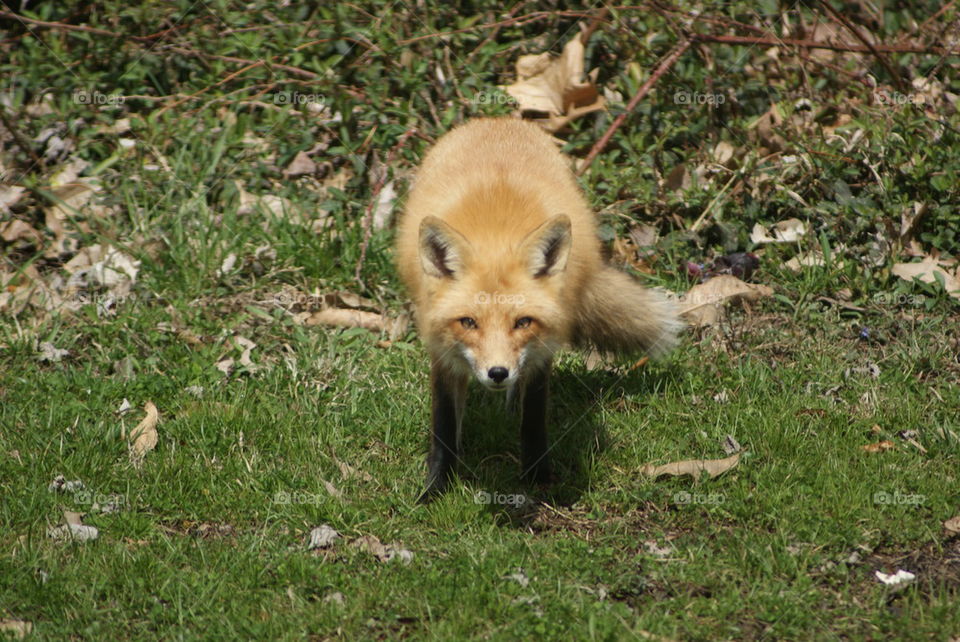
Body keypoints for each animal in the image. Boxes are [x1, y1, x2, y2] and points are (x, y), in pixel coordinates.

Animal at [398, 119, 684, 500]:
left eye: (523, 322)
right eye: (468, 322)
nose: (498, 373)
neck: (495, 236)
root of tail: (497, 120)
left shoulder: (540, 351)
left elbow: (533, 417)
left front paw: (538, 477)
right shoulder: (442, 352)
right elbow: (443, 425)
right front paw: (436, 488)